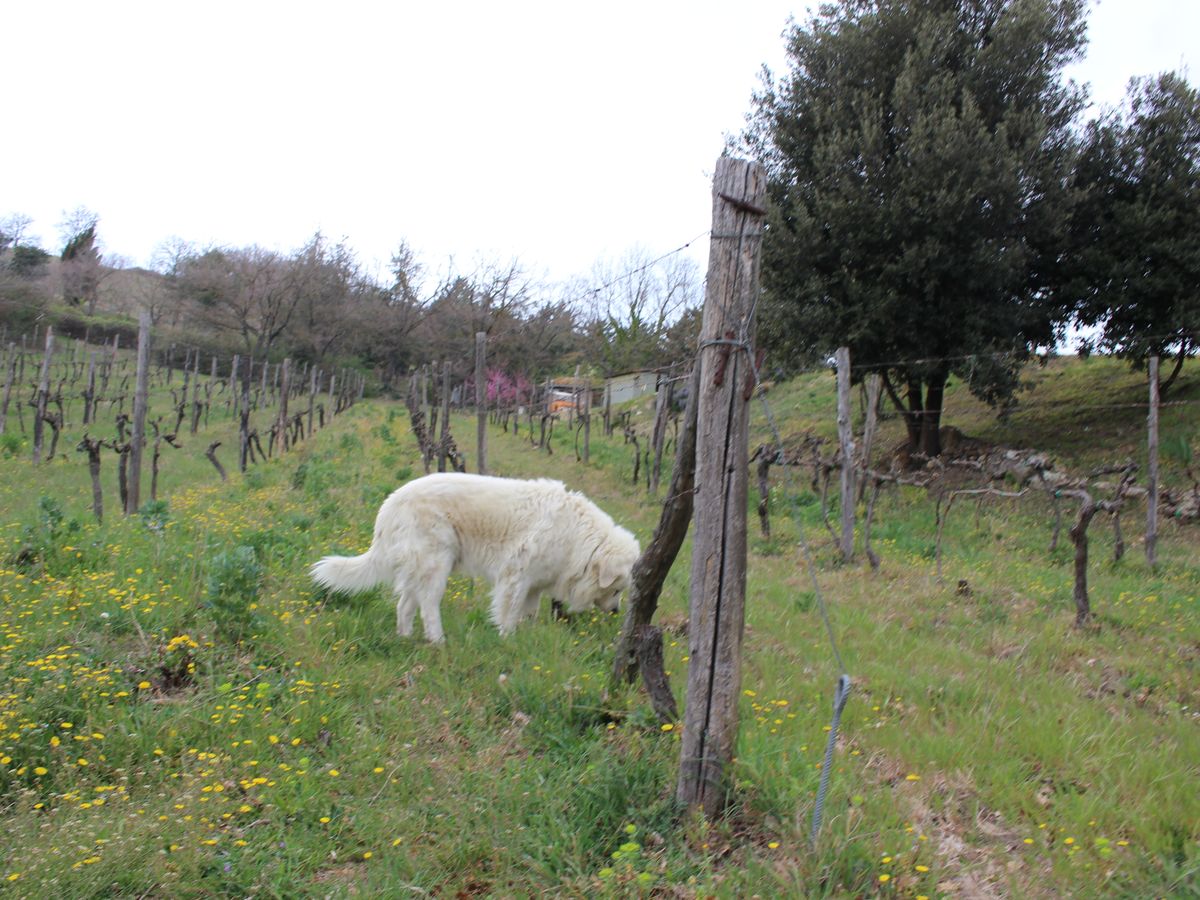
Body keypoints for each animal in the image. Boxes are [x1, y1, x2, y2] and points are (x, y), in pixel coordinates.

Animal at [310, 473, 640, 642]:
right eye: (617, 589)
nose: (615, 611)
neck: (580, 537)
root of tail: (390, 503)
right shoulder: (515, 575)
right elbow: (509, 613)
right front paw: (507, 640)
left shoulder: (534, 584)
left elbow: (529, 613)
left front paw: (527, 638)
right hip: (436, 565)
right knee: (428, 606)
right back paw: (438, 641)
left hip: (420, 568)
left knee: (405, 605)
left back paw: (405, 636)